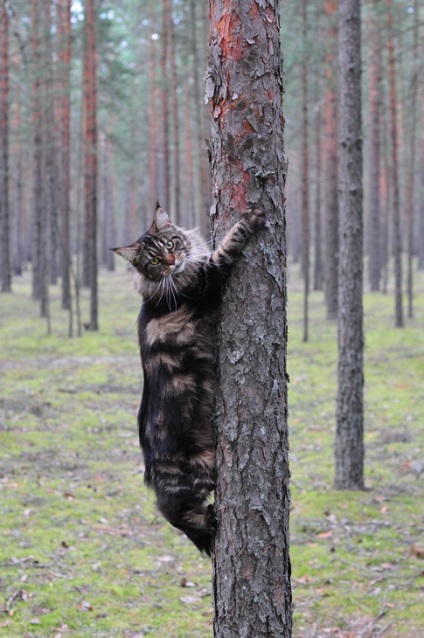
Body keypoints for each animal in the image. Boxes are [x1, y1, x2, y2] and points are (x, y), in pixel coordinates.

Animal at [114, 206, 264, 556]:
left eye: (171, 243)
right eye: (154, 260)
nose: (172, 261)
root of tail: (151, 468)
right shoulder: (208, 278)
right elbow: (228, 244)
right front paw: (250, 219)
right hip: (190, 478)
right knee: (173, 513)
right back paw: (209, 523)